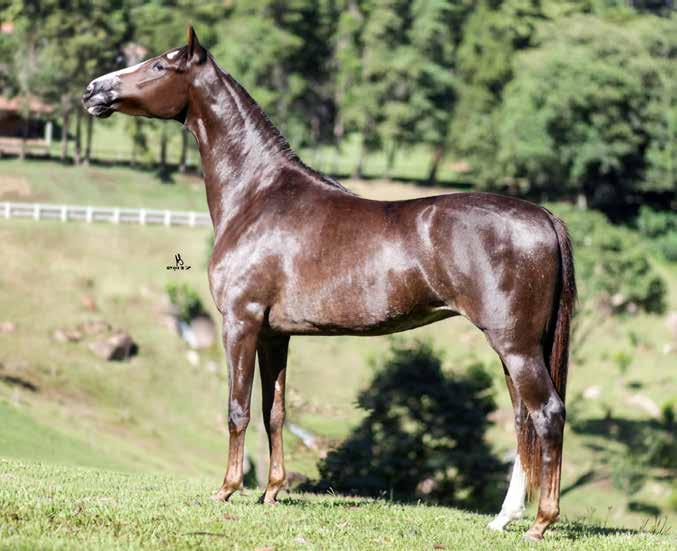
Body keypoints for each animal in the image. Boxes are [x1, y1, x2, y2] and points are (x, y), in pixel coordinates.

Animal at [82, 27, 572, 544]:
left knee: (547, 414)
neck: (258, 195)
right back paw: (504, 518)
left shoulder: (240, 323)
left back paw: (540, 523)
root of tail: (544, 216)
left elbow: (237, 408)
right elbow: (273, 410)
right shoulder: (274, 334)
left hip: (516, 346)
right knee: (522, 420)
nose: (94, 90)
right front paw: (272, 492)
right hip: (514, 349)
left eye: (160, 65)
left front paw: (227, 490)